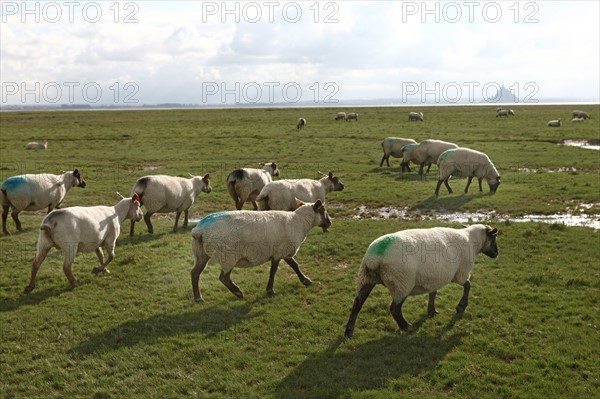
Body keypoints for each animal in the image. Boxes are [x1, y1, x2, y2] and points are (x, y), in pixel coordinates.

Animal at [191, 198, 332, 302]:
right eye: (323, 210)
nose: (330, 222)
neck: (299, 222)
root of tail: (199, 230)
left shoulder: (284, 251)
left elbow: (295, 265)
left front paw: (305, 280)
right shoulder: (278, 252)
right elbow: (273, 271)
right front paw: (270, 290)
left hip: (201, 253)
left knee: (195, 273)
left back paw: (198, 298)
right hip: (228, 256)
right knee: (223, 278)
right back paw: (238, 292)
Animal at [344, 225, 500, 338]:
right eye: (494, 239)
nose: (497, 254)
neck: (472, 241)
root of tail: (374, 258)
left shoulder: (435, 276)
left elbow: (433, 293)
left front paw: (431, 311)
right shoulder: (461, 273)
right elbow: (468, 285)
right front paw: (461, 306)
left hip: (366, 279)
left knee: (357, 304)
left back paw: (349, 331)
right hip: (402, 283)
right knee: (395, 308)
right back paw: (406, 326)